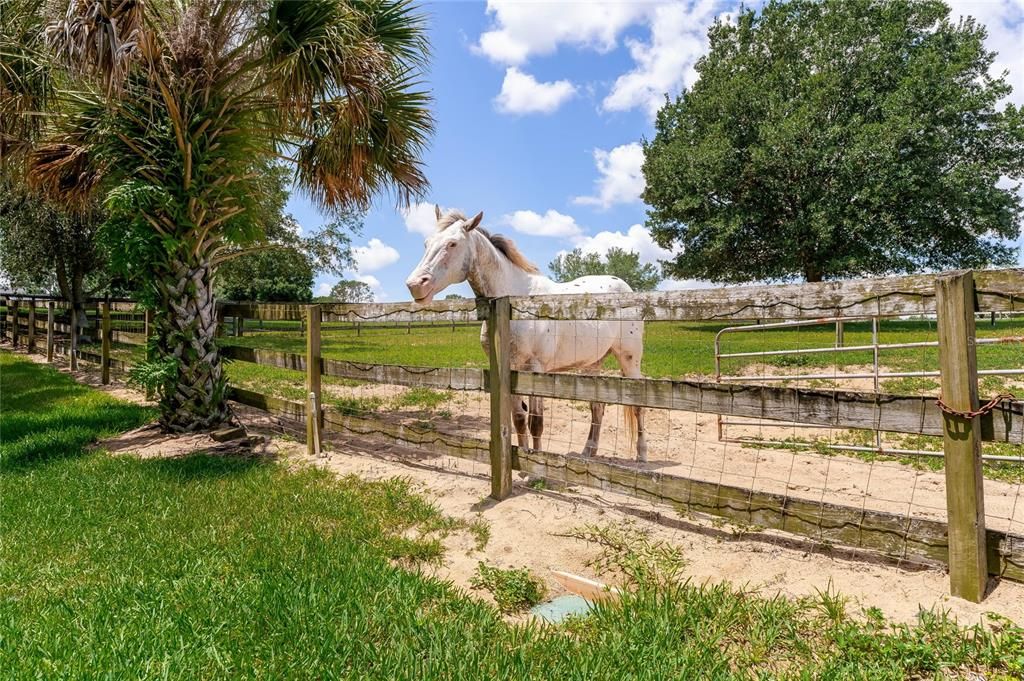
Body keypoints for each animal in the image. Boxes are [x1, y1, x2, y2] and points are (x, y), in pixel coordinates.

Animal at [401, 206, 647, 462]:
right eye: (427, 243)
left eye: (452, 244)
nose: (416, 285)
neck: (514, 303)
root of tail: (626, 288)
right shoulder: (510, 371)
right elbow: (519, 420)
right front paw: (522, 456)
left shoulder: (535, 369)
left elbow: (536, 422)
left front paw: (537, 461)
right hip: (592, 364)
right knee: (597, 407)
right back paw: (588, 452)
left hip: (629, 360)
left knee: (637, 406)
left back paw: (641, 457)